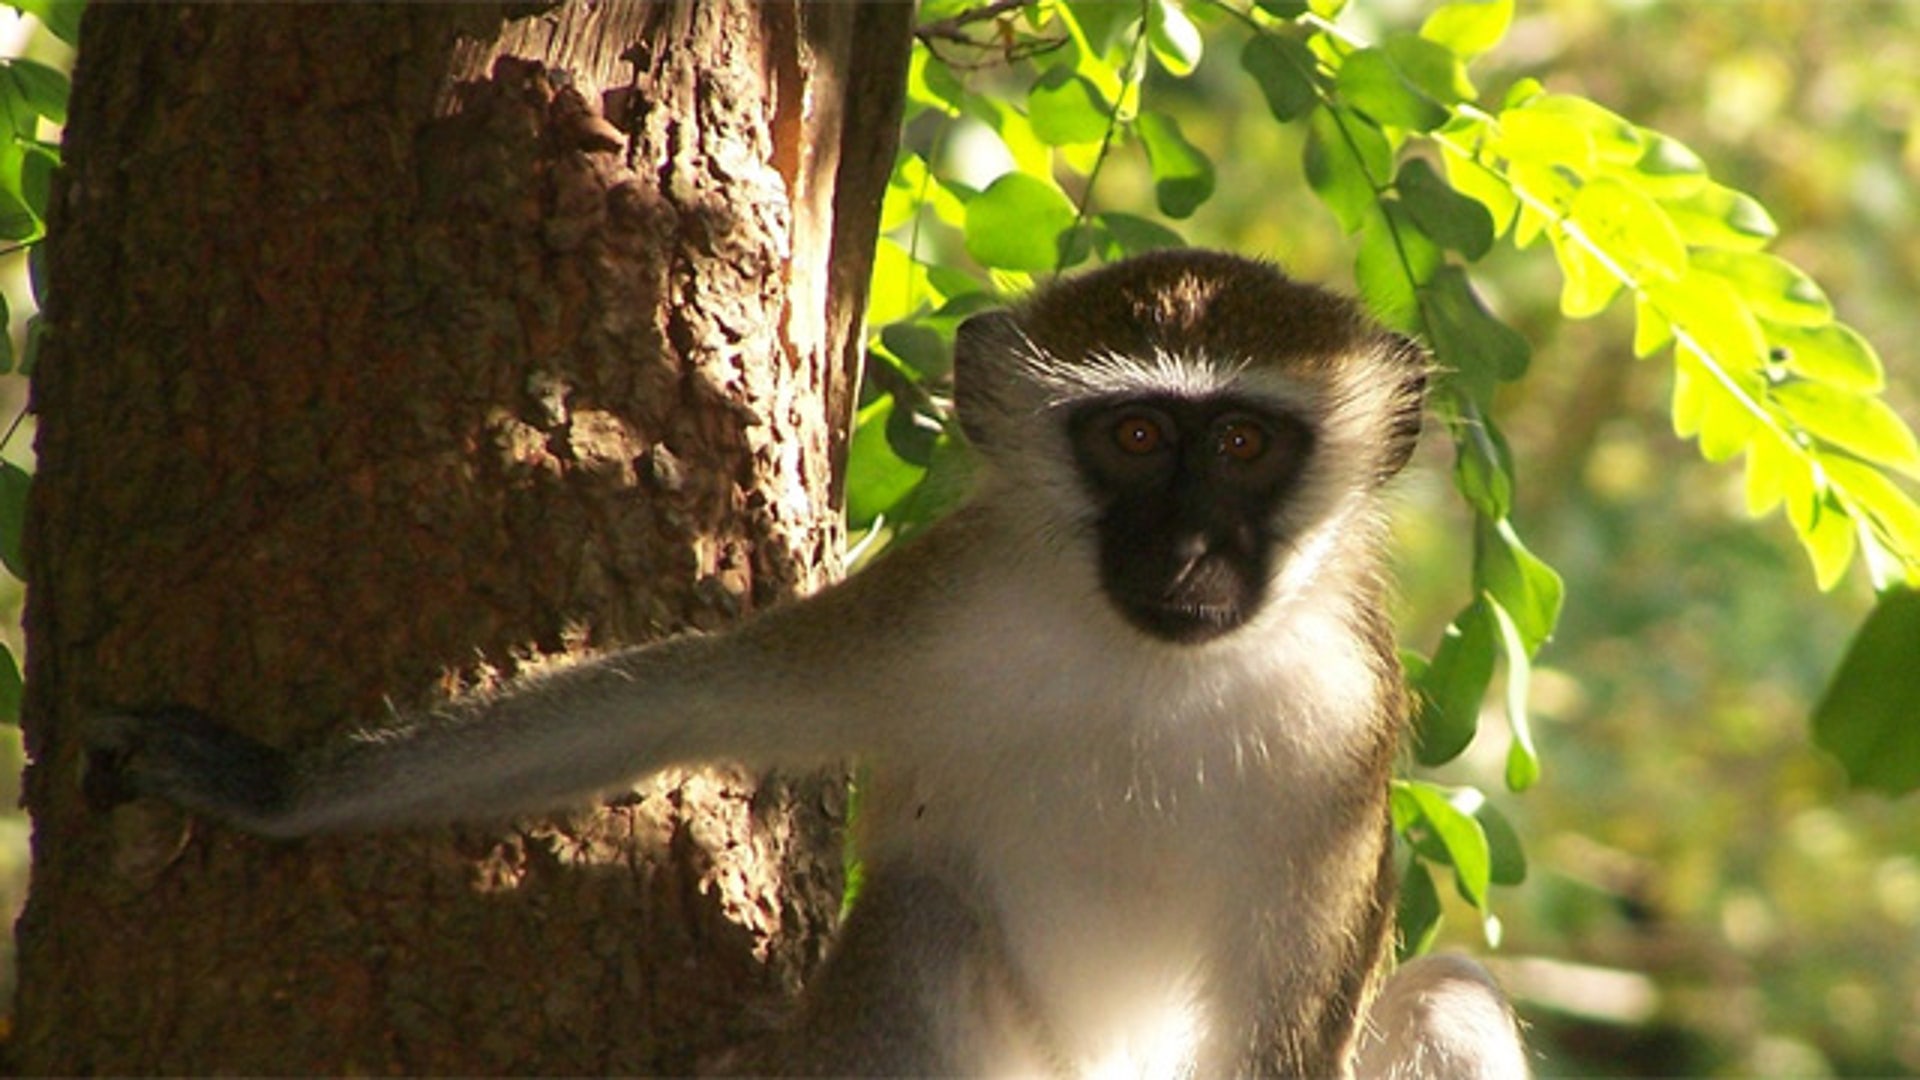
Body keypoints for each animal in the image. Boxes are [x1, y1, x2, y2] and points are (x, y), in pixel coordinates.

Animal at [86, 249, 1527, 1077]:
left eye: (1240, 447)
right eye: (1129, 438)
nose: (1184, 548)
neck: (1144, 674)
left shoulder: (1342, 741)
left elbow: (1291, 1038)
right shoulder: (940, 609)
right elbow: (679, 695)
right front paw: (268, 787)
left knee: (1452, 1005)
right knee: (919, 921)